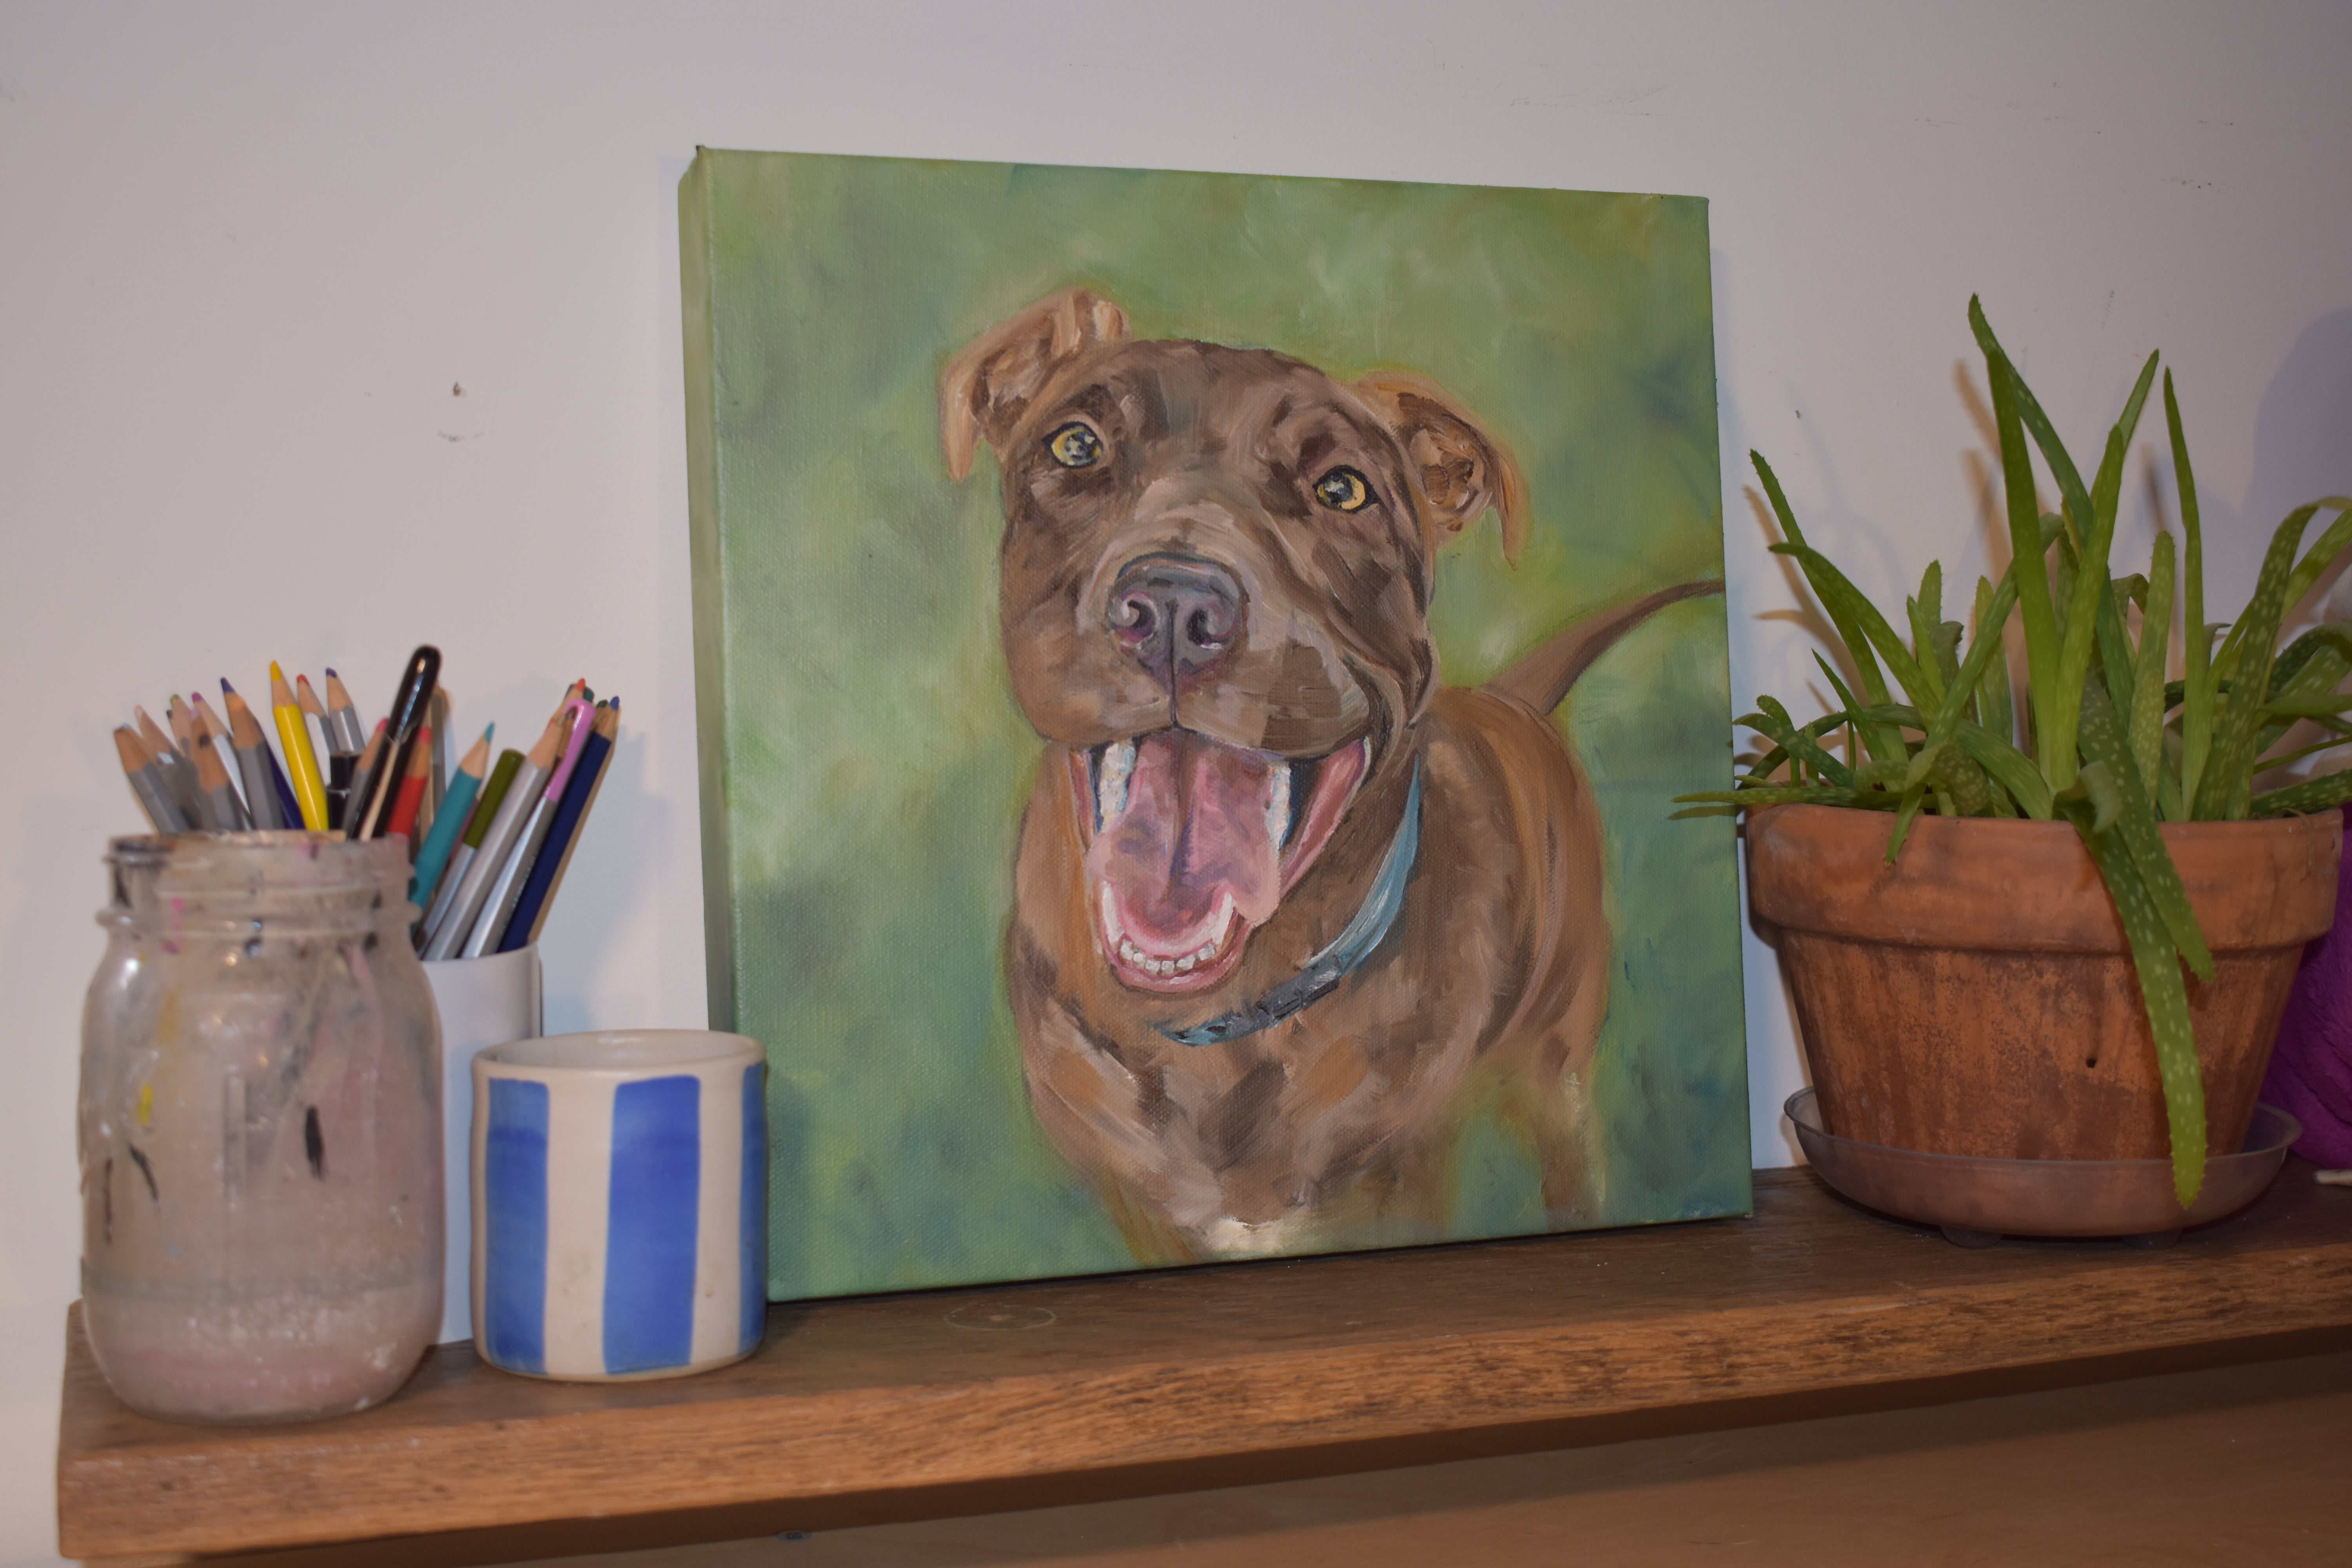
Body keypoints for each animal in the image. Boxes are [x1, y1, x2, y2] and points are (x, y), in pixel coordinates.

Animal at [941, 288, 1716, 1261]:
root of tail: (1514, 702)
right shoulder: (1142, 1207)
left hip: (1560, 1063)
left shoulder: (1406, 1178)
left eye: (1344, 488)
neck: (1226, 1020)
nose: (1174, 605)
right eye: (1076, 445)